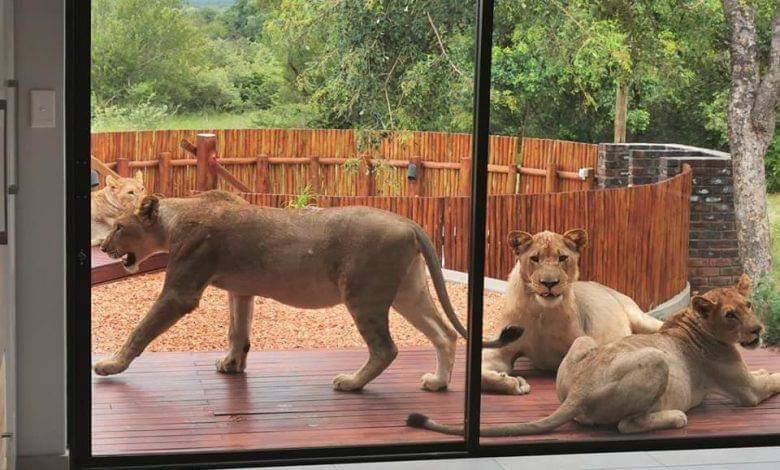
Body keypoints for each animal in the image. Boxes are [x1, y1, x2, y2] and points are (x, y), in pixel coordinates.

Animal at [93, 191, 520, 392]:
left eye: (119, 227)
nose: (103, 246)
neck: (173, 219)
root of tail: (408, 222)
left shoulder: (181, 291)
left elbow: (140, 330)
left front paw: (110, 365)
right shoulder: (241, 290)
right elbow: (237, 330)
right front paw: (232, 364)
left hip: (363, 294)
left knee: (386, 348)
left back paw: (351, 383)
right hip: (407, 292)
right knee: (444, 333)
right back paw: (438, 382)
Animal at [408, 274, 778, 436]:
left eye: (748, 305)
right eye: (730, 315)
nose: (758, 330)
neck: (694, 324)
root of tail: (580, 391)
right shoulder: (746, 391)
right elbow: (771, 380)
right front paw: (769, 372)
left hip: (583, 342)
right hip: (656, 361)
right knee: (627, 425)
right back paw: (675, 416)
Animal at [481, 229, 663, 395]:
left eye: (562, 258)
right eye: (535, 258)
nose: (549, 283)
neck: (542, 313)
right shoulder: (502, 349)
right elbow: (483, 375)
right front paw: (513, 382)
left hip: (640, 318)